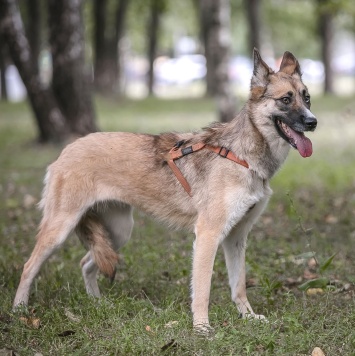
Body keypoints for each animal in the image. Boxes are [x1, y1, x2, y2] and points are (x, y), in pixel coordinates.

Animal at [13, 49, 318, 330]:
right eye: (286, 99)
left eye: (307, 97)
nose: (312, 122)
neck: (241, 155)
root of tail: (67, 149)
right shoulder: (208, 235)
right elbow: (203, 289)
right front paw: (201, 327)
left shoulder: (236, 238)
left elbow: (239, 284)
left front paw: (248, 317)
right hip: (60, 229)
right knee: (29, 267)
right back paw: (20, 310)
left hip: (119, 232)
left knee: (88, 262)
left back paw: (98, 303)